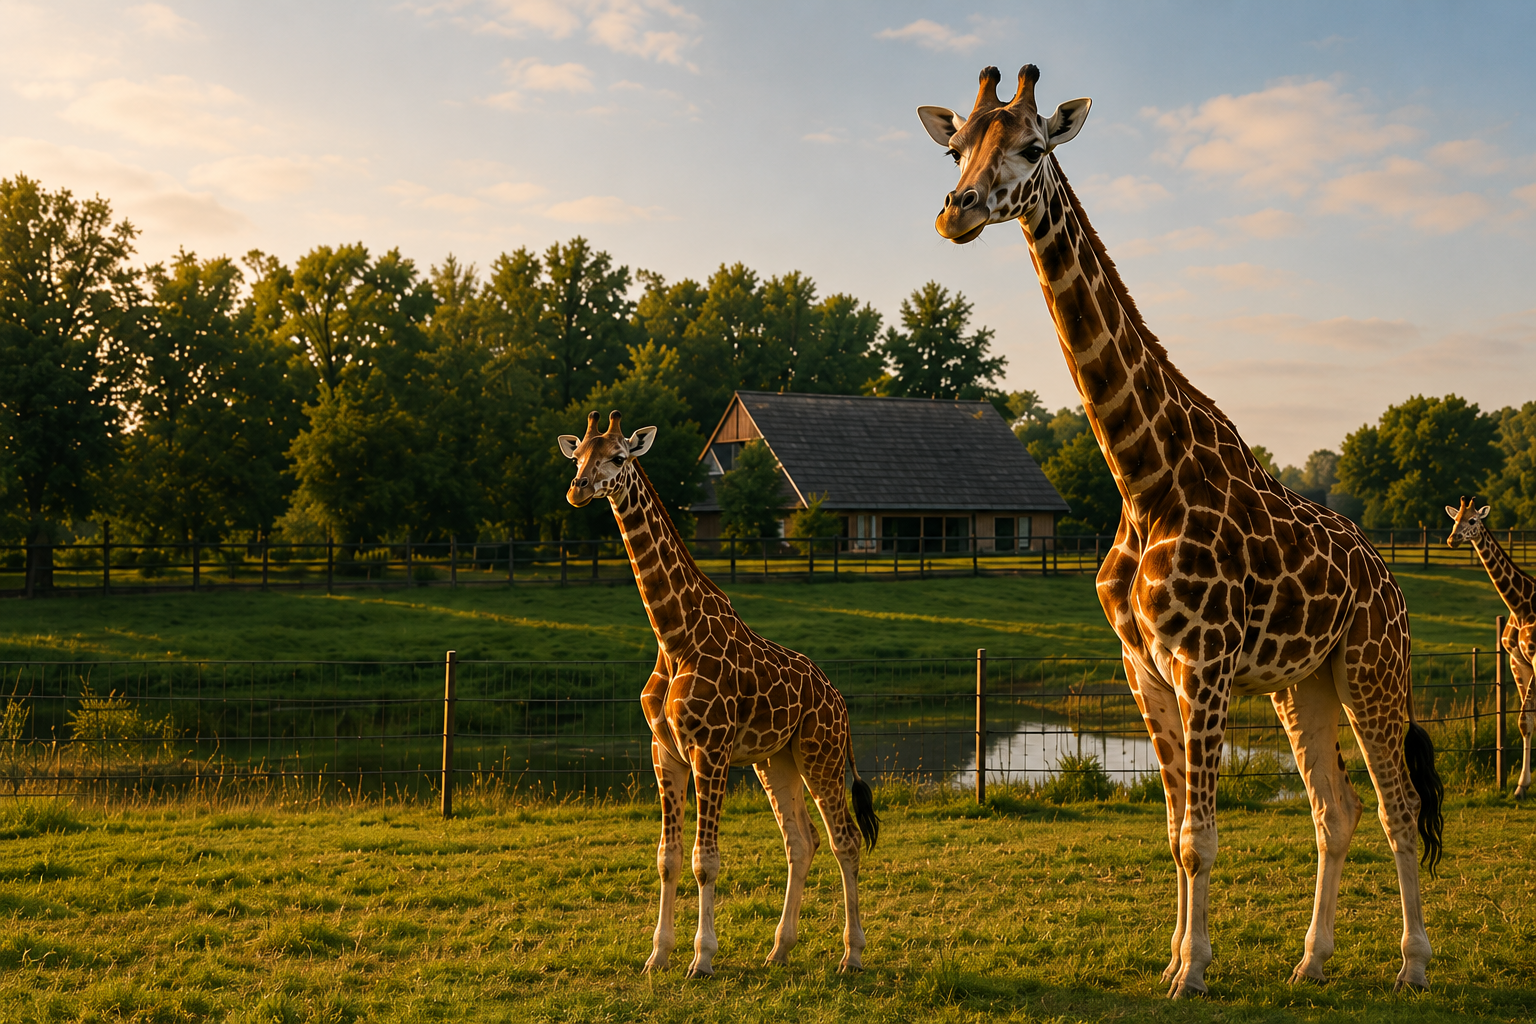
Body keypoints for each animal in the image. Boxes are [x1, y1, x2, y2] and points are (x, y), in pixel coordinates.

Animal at [558, 410, 880, 976]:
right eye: (576, 457)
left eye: (618, 457)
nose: (577, 490)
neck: (673, 636)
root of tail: (839, 698)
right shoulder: (665, 751)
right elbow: (667, 858)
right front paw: (657, 955)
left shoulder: (710, 749)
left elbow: (704, 861)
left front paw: (702, 958)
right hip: (777, 760)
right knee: (801, 842)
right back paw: (779, 949)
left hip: (820, 754)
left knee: (844, 841)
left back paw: (852, 954)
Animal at [916, 65, 1444, 997]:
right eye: (956, 149)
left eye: (1034, 147)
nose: (958, 210)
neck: (1143, 478)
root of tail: (1389, 577)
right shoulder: (1144, 668)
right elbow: (1173, 835)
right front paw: (1174, 957)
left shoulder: (1206, 664)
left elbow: (1201, 836)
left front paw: (1191, 971)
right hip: (1302, 685)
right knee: (1335, 811)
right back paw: (1311, 960)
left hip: (1373, 670)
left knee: (1398, 805)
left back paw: (1412, 964)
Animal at [1447, 497, 1536, 797]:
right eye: (1455, 519)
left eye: (1473, 520)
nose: (1452, 540)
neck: (1520, 606)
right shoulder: (1517, 661)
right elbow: (1525, 721)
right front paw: (1521, 786)